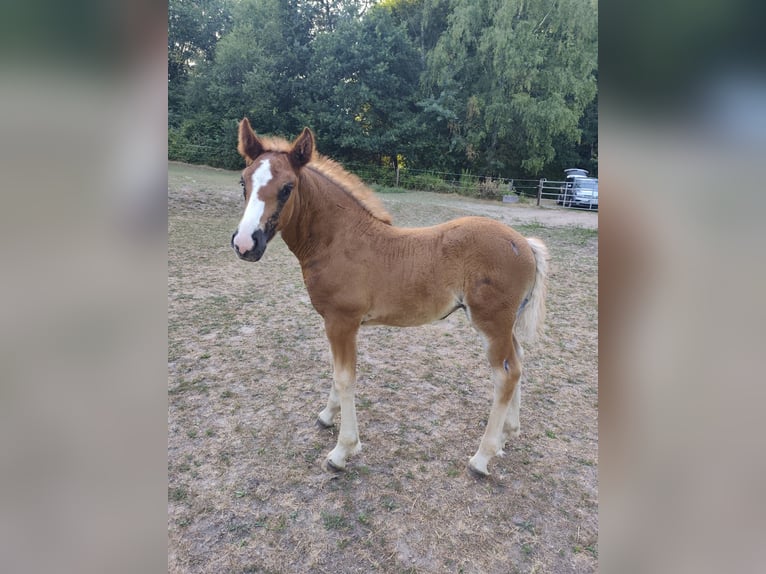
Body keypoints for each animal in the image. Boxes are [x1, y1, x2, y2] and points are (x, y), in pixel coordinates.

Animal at [230, 118, 549, 476]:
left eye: (287, 187)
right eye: (243, 182)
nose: (245, 243)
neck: (338, 241)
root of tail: (525, 244)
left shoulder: (342, 321)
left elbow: (345, 378)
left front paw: (342, 450)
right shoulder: (335, 324)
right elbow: (336, 372)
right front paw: (327, 417)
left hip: (491, 323)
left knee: (505, 374)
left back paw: (482, 457)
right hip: (506, 325)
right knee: (519, 363)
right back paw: (508, 434)